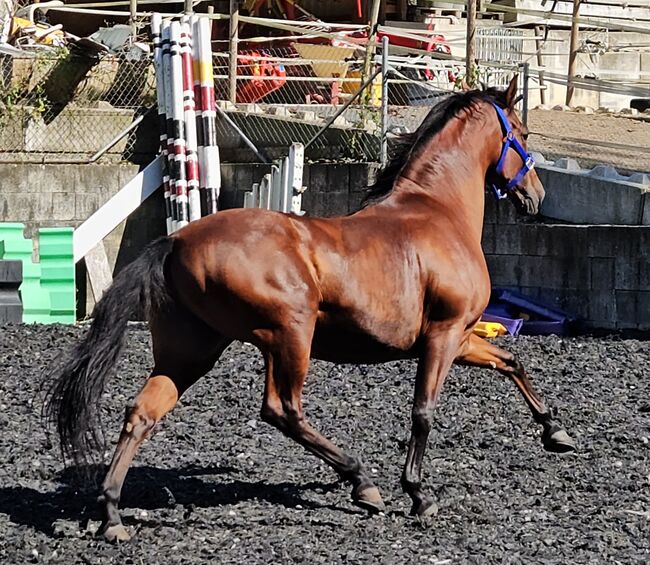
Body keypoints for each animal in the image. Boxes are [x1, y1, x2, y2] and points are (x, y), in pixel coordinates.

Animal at [43, 76, 576, 540]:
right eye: (522, 135)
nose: (537, 197)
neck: (437, 212)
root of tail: (174, 241)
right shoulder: (443, 336)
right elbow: (423, 411)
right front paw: (419, 494)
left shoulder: (462, 336)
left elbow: (511, 362)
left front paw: (557, 433)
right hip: (289, 336)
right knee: (283, 410)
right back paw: (363, 483)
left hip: (193, 351)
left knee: (143, 412)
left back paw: (112, 514)